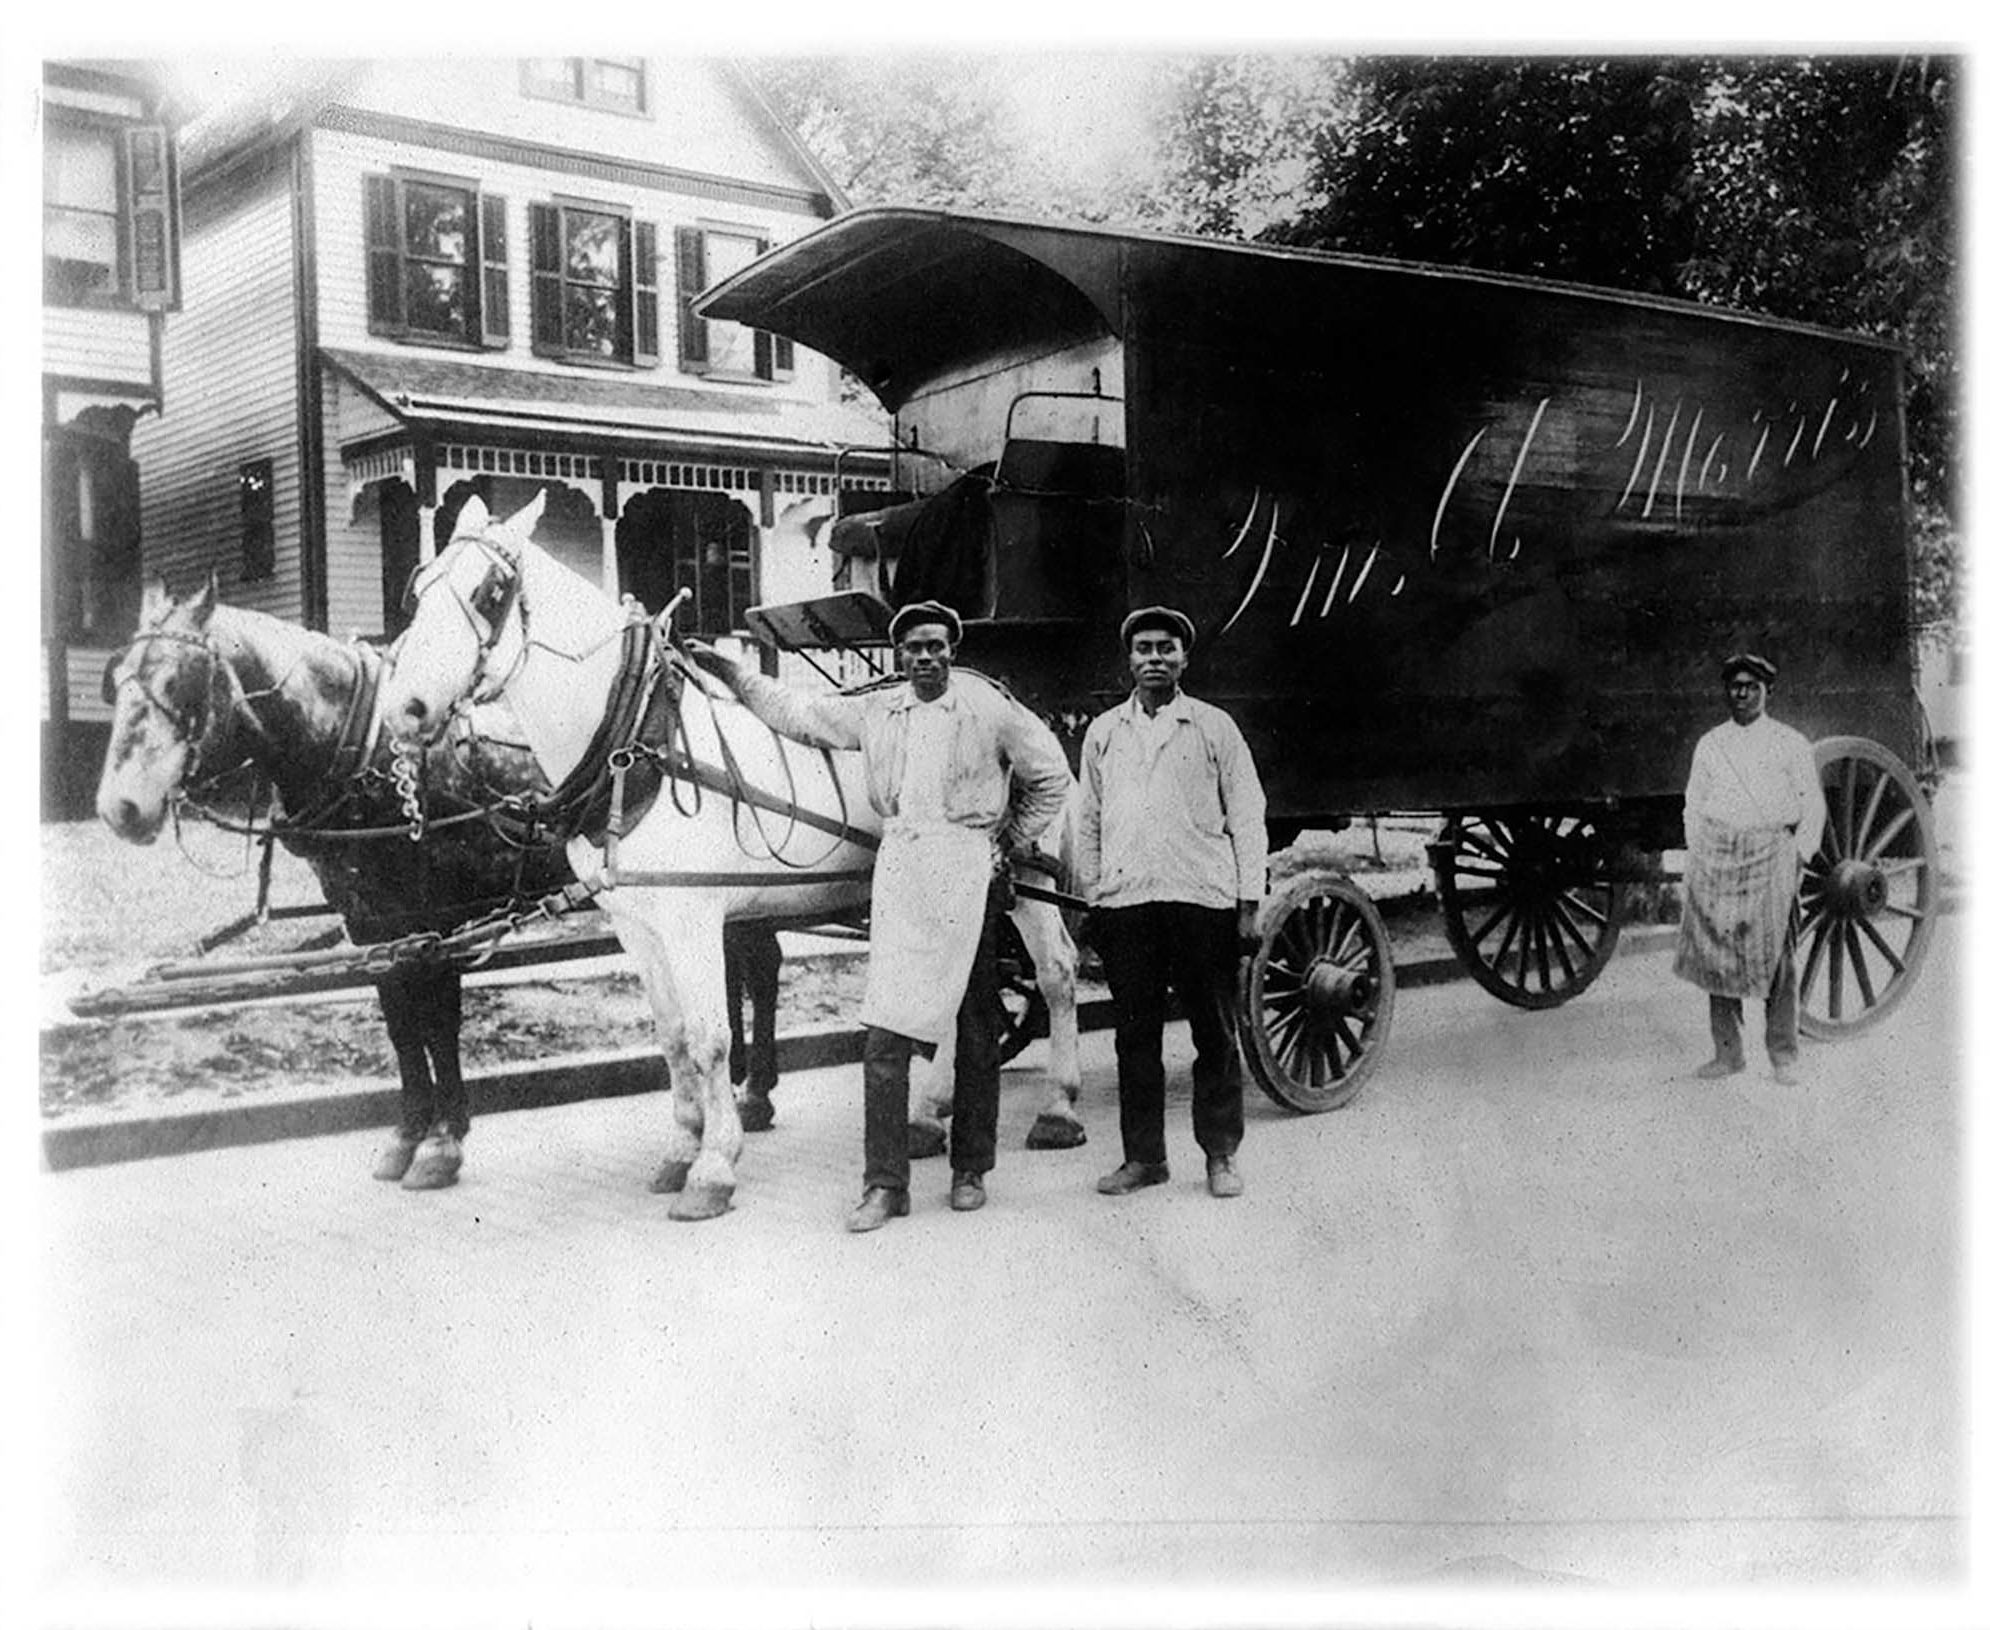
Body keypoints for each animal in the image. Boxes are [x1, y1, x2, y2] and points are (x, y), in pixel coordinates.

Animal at [91, 573, 791, 1185]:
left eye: (179, 681)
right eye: (116, 683)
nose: (119, 808)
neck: (364, 748)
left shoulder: (428, 921)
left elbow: (437, 1023)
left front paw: (442, 1143)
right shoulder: (371, 924)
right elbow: (402, 1029)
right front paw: (407, 1135)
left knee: (759, 965)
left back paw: (752, 1094)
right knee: (751, 958)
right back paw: (745, 1088)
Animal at [377, 490, 1084, 1220]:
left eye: (489, 592)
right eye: (418, 590)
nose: (406, 709)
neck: (640, 741)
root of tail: (1007, 695)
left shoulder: (692, 920)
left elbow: (712, 1039)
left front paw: (714, 1166)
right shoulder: (638, 925)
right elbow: (673, 1039)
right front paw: (682, 1148)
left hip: (1026, 878)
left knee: (1056, 972)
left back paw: (1057, 1107)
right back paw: (928, 1113)